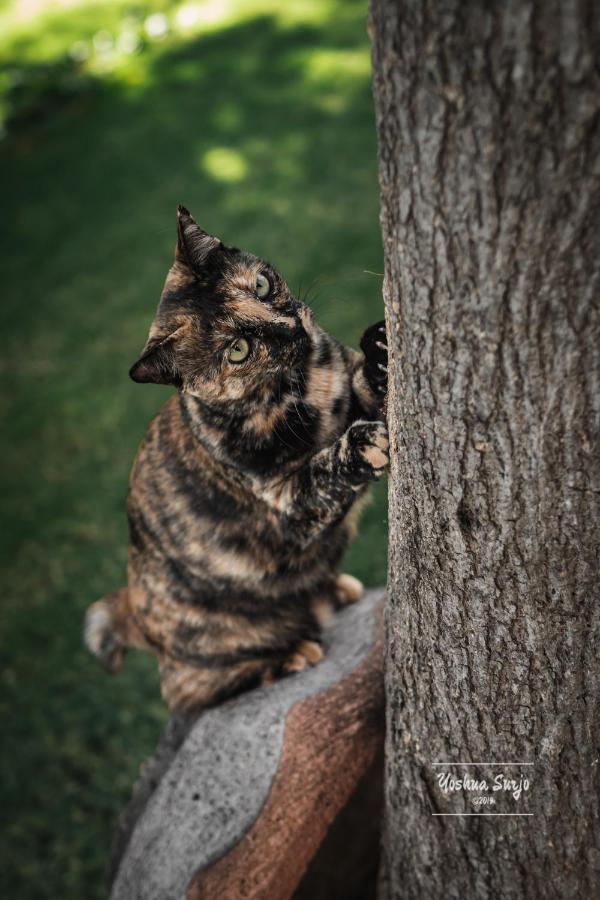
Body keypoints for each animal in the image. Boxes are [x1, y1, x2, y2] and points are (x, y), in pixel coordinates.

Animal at [83, 207, 390, 712]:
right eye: (237, 350)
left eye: (262, 286)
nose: (291, 328)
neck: (306, 388)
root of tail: (133, 609)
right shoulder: (290, 505)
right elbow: (325, 466)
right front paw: (363, 445)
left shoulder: (348, 388)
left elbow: (365, 381)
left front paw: (380, 349)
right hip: (206, 653)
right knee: (195, 693)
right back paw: (293, 654)